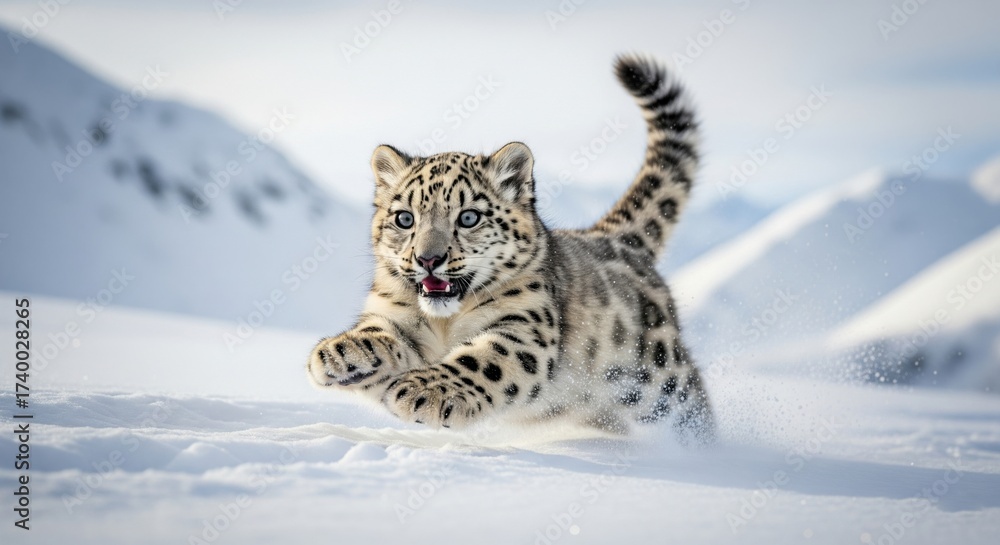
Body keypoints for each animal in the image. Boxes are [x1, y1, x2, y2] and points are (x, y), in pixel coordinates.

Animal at [308, 54, 713, 442]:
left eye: (468, 217)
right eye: (405, 218)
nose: (428, 259)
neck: (445, 324)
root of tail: (613, 237)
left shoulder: (524, 326)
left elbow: (484, 359)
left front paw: (426, 392)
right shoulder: (394, 312)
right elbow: (380, 331)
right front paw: (338, 354)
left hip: (655, 376)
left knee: (692, 400)